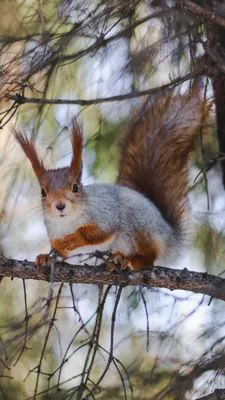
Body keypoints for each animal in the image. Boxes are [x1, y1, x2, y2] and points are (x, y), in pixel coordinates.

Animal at [13, 90, 207, 272]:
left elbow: (102, 231)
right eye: (43, 192)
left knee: (150, 255)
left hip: (140, 225)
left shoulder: (105, 213)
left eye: (75, 187)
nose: (60, 206)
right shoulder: (53, 232)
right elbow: (60, 253)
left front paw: (75, 238)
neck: (67, 222)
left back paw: (130, 260)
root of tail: (171, 237)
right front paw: (47, 256)